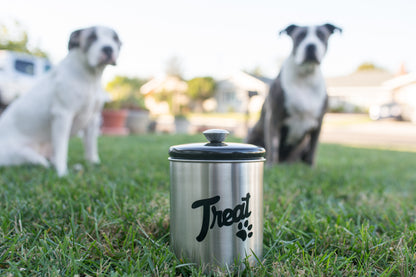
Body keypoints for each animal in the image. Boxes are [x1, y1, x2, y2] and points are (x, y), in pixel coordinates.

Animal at [0, 27, 122, 176]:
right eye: (92, 37)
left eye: (115, 39)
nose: (108, 48)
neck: (90, 76)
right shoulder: (63, 115)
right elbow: (62, 148)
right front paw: (62, 172)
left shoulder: (93, 119)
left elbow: (91, 146)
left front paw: (94, 162)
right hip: (25, 154)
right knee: (42, 161)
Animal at [247, 23, 342, 164]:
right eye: (300, 36)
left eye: (321, 35)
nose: (311, 46)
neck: (305, 77)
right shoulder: (274, 118)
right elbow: (273, 146)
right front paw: (271, 166)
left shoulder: (318, 124)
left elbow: (312, 152)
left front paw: (311, 168)